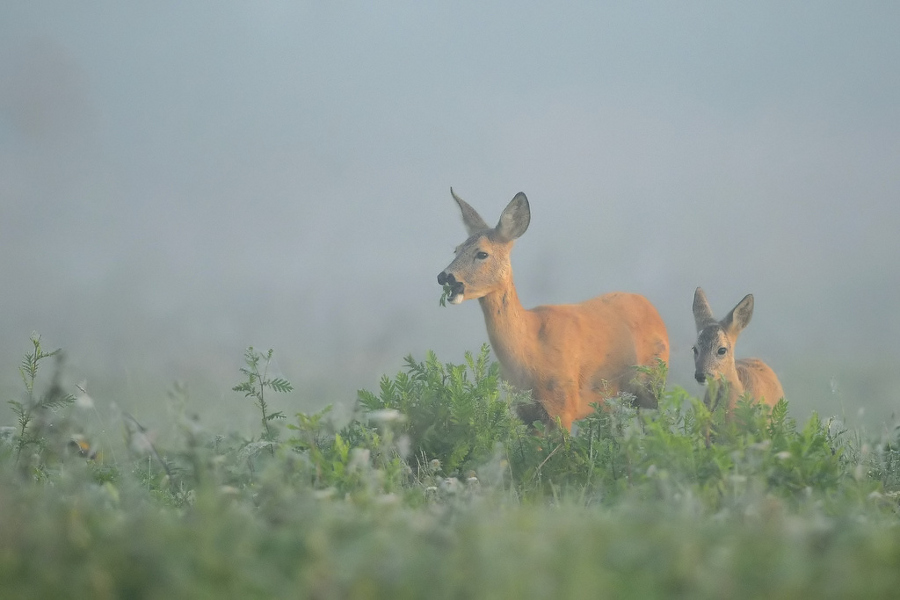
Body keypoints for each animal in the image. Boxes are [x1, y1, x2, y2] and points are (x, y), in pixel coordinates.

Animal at [436, 190, 668, 428]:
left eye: (482, 253)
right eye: (456, 249)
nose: (445, 277)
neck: (529, 350)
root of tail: (651, 308)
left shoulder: (564, 407)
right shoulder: (526, 414)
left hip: (653, 384)